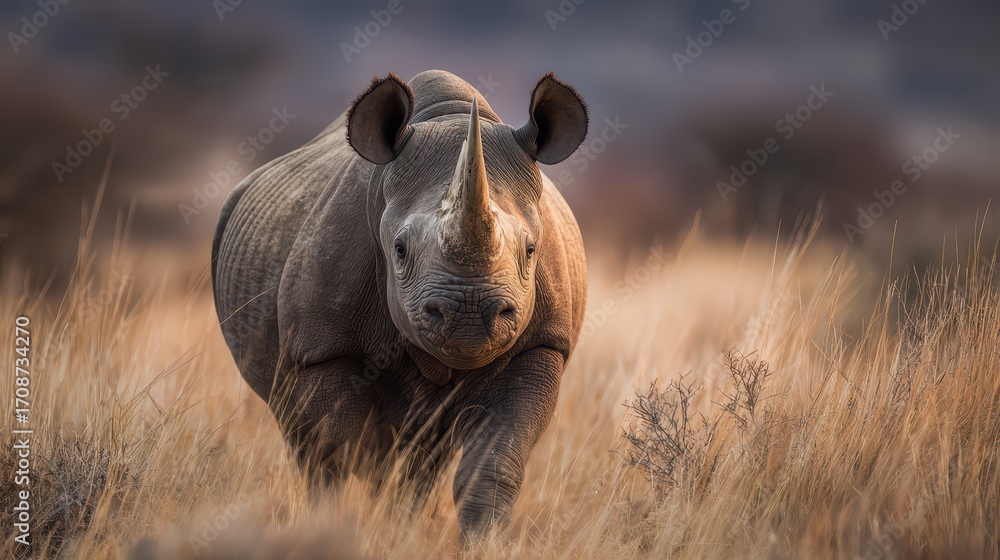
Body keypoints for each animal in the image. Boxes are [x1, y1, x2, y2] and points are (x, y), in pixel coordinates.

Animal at [211, 70, 588, 536]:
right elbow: (337, 455)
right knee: (309, 438)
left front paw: (482, 543)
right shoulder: (321, 348)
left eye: (532, 250)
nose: (468, 316)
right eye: (399, 250)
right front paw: (335, 530)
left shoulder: (541, 346)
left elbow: (493, 464)